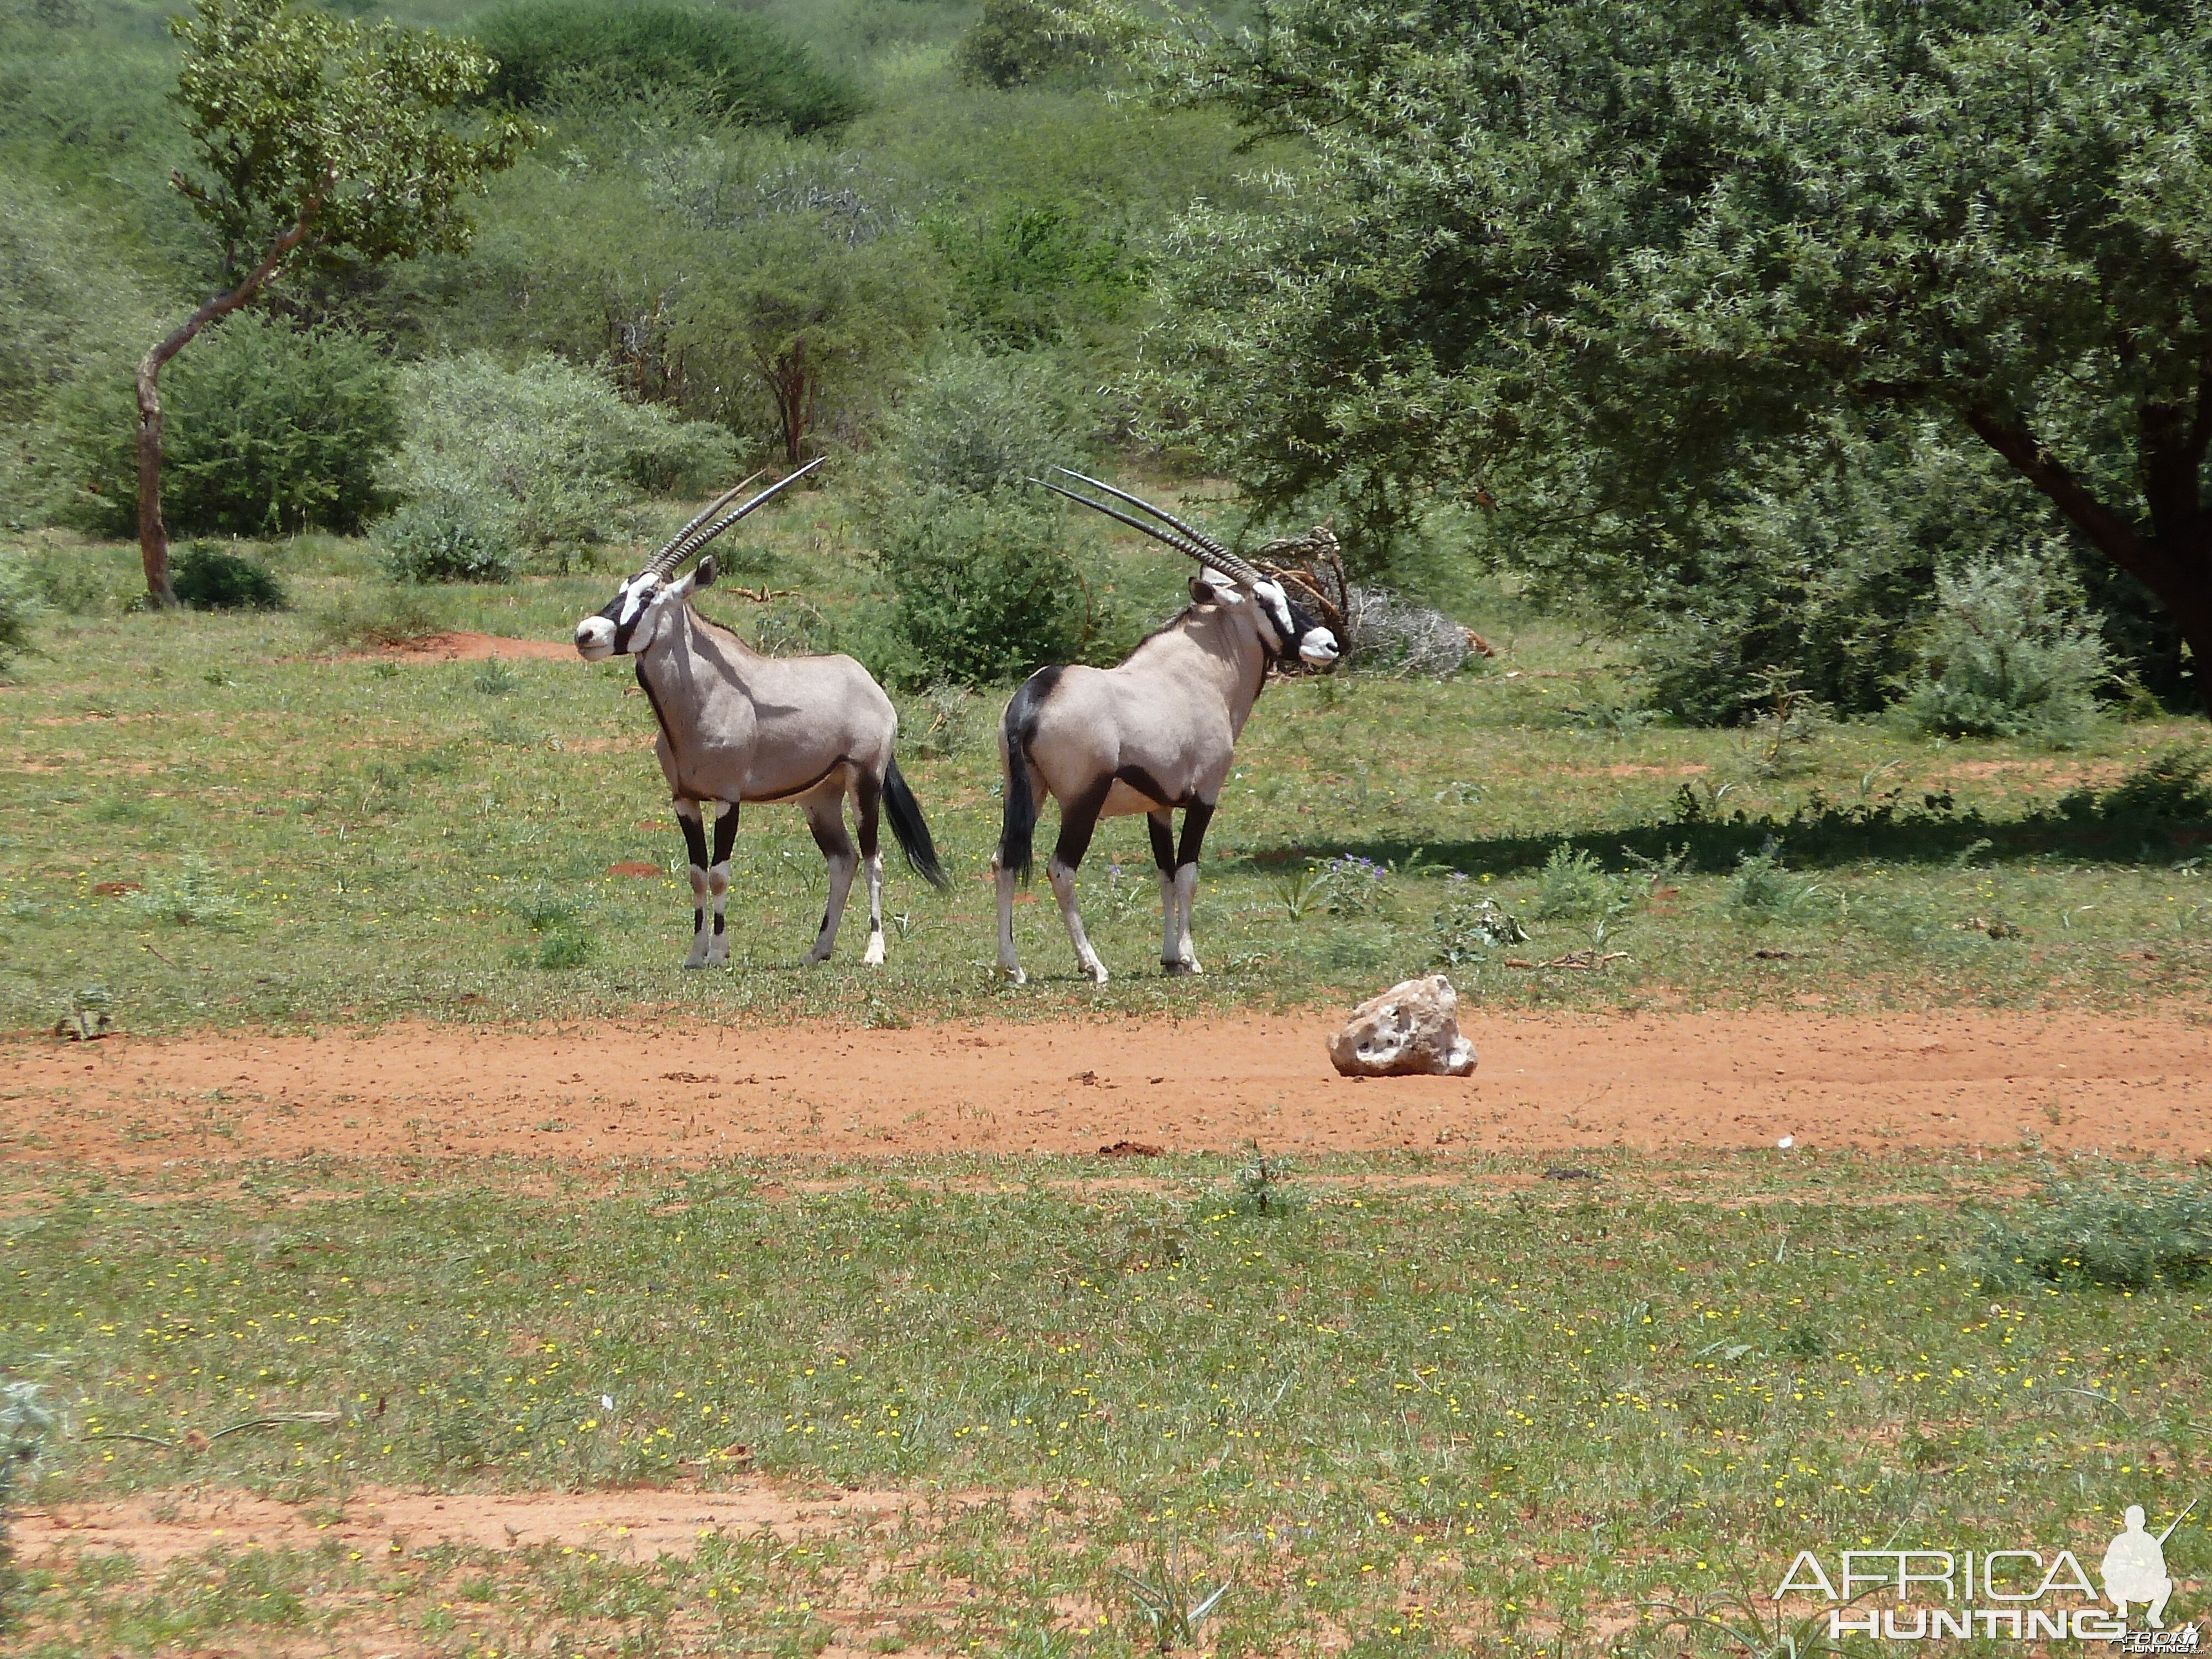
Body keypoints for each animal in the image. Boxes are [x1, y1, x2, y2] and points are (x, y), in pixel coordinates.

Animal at [575, 462, 947, 969]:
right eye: (622, 590)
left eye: (649, 595)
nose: (587, 633)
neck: (700, 696)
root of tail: (866, 682)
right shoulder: (684, 799)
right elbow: (696, 872)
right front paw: (695, 954)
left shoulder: (727, 798)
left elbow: (719, 873)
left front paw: (719, 953)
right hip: (819, 798)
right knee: (843, 859)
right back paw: (818, 950)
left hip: (864, 782)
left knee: (873, 859)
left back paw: (874, 951)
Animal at [995, 471, 1336, 987]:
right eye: (1266, 600)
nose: (1328, 644)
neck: (1202, 669)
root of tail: (1035, 696)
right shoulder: (1205, 794)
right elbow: (1189, 872)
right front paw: (1190, 958)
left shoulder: (1158, 807)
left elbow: (1165, 873)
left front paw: (1170, 956)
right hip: (1081, 800)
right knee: (1061, 868)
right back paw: (1092, 964)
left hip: (1027, 791)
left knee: (1004, 859)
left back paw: (1011, 966)